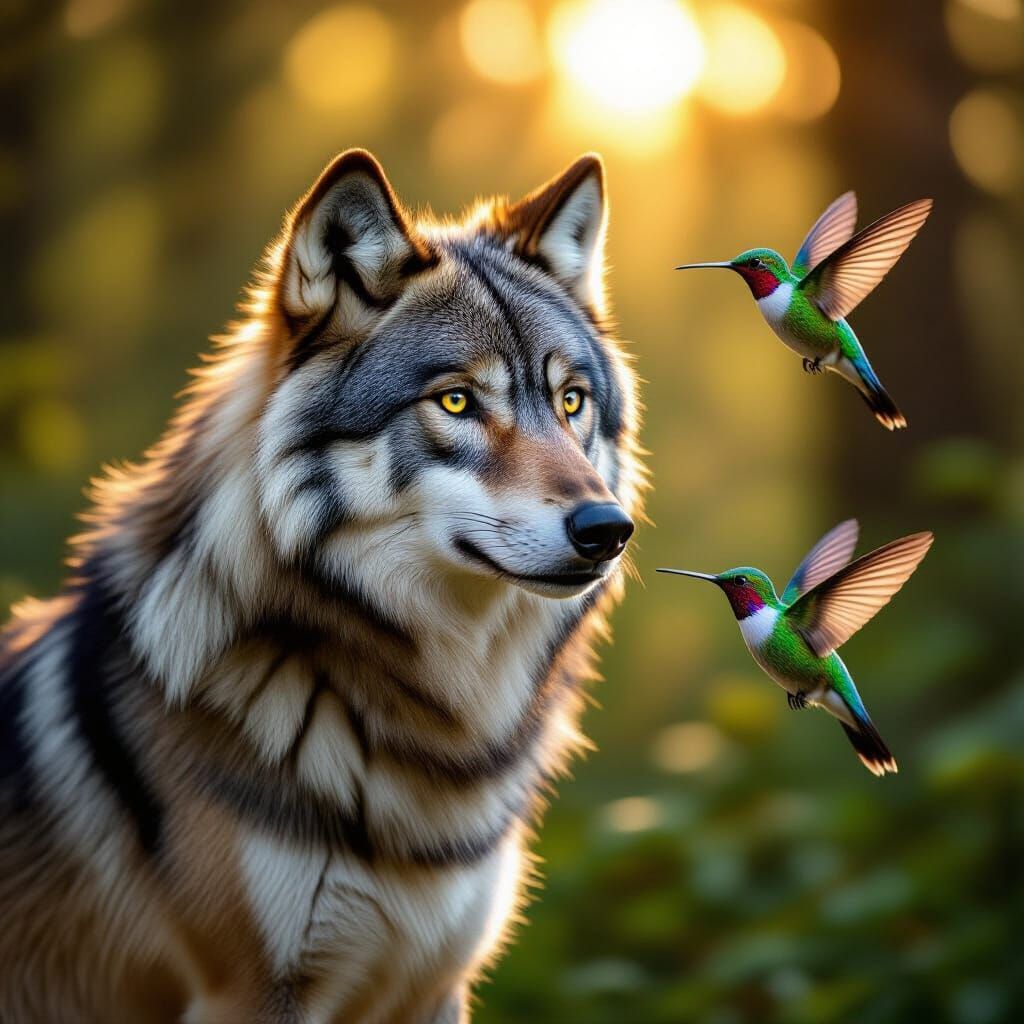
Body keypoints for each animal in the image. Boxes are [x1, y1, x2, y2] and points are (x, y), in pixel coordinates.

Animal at [0, 149, 645, 1023]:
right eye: (456, 401)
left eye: (571, 400)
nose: (607, 529)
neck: (427, 730)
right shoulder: (249, 993)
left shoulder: (434, 987)